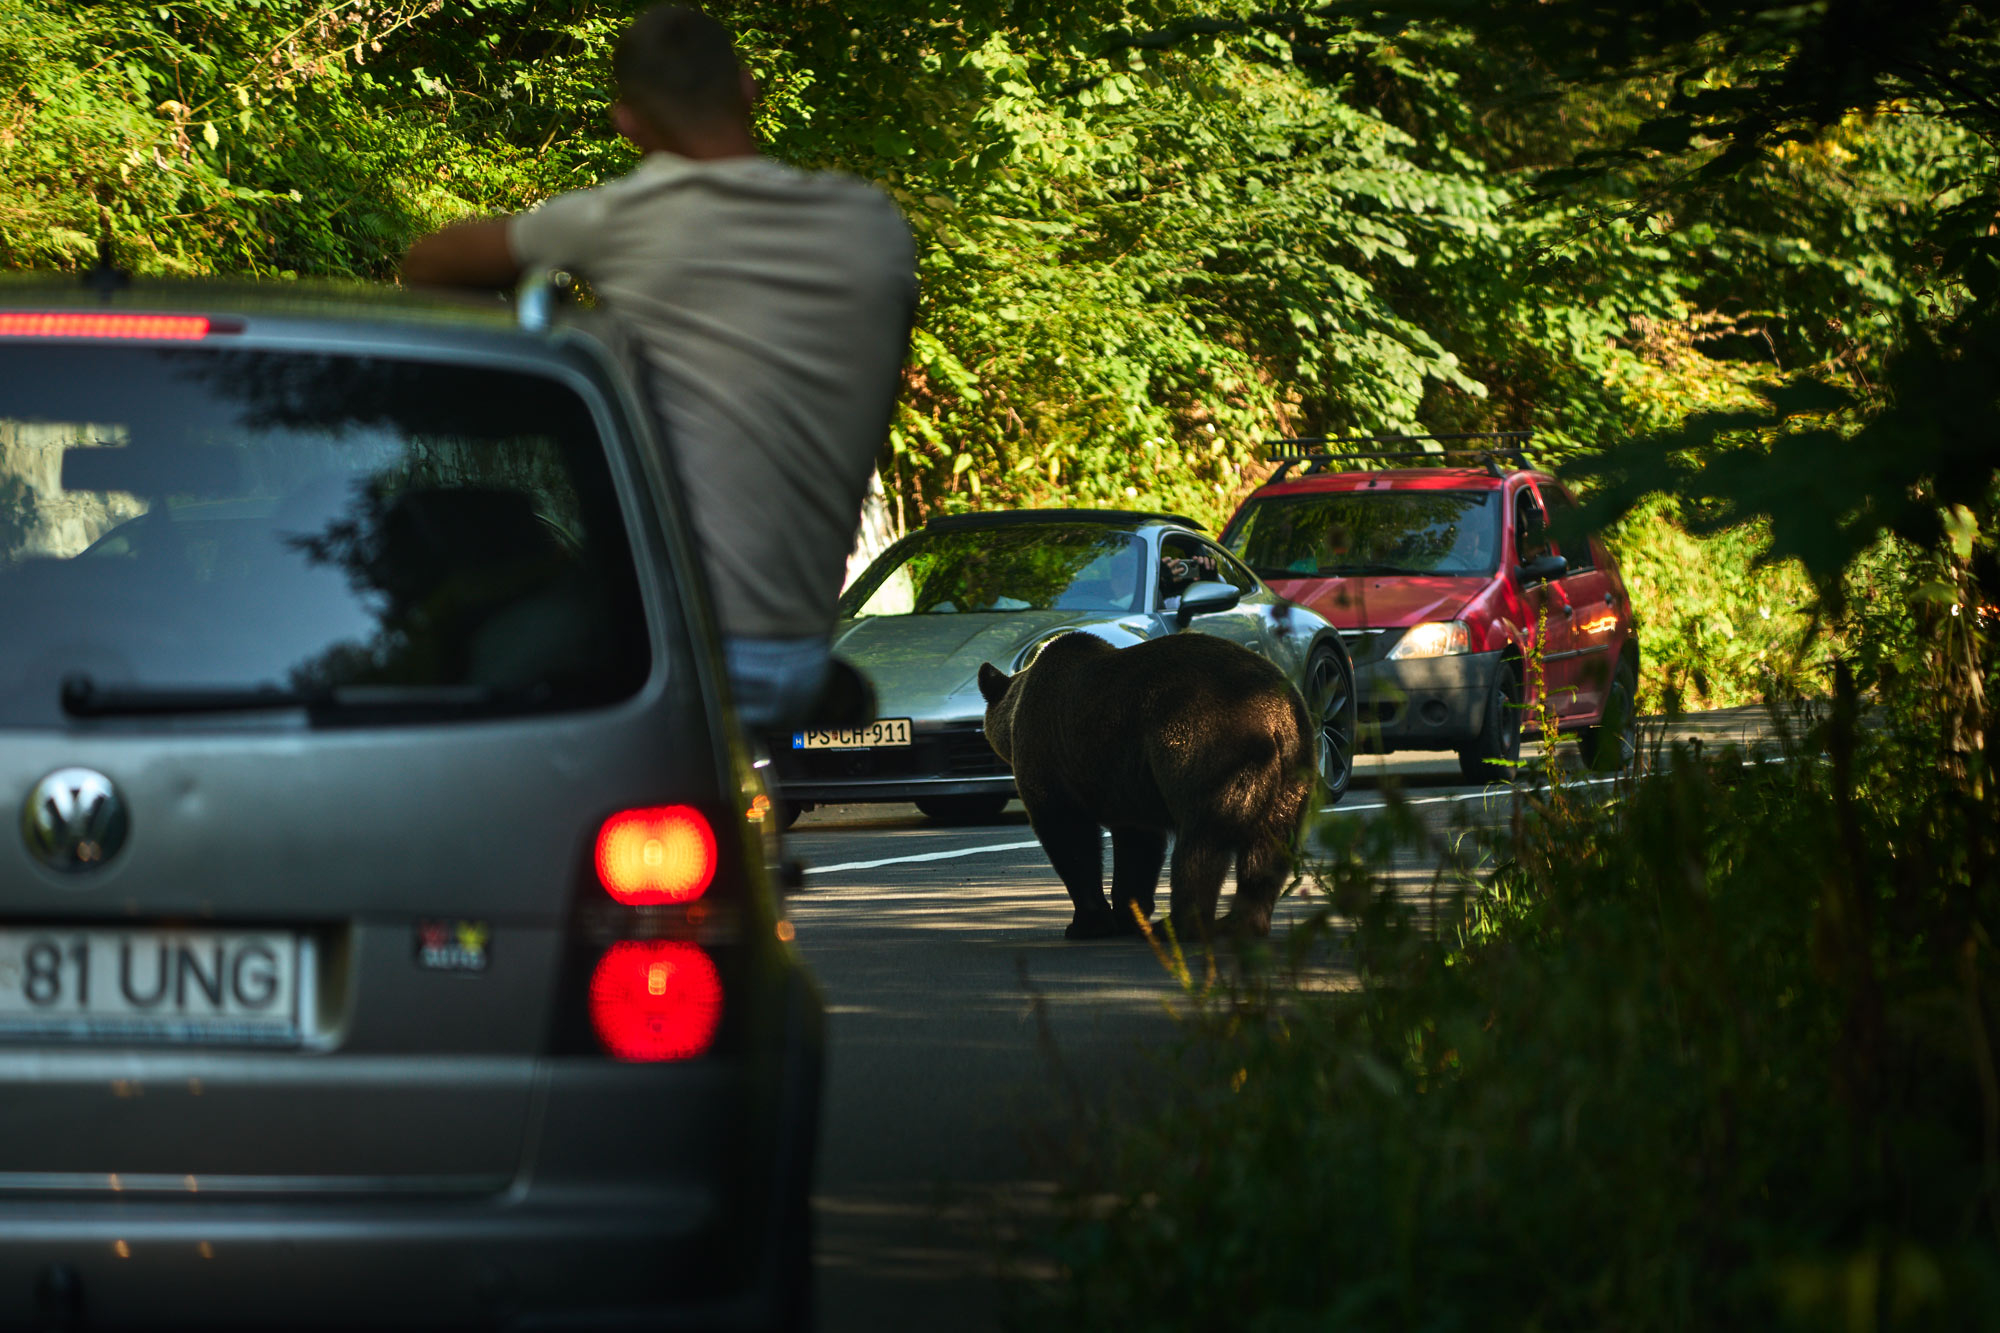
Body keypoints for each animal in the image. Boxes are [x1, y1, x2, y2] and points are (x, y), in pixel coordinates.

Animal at [972, 632, 1312, 932]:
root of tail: (1274, 718)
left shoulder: (1048, 755)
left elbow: (1068, 833)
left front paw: (1087, 922)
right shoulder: (1127, 784)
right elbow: (1138, 846)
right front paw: (1128, 915)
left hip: (1208, 747)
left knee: (1203, 840)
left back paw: (1182, 923)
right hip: (1293, 768)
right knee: (1270, 846)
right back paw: (1241, 922)